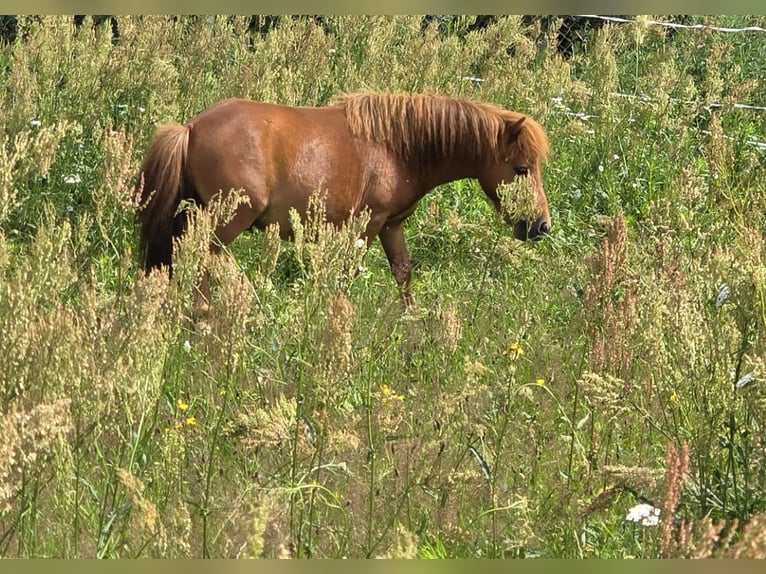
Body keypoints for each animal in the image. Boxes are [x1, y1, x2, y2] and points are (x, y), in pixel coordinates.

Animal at [135, 92, 548, 308]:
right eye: (522, 169)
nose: (540, 226)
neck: (398, 147)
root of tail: (190, 128)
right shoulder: (366, 225)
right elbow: (347, 276)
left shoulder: (391, 226)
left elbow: (403, 273)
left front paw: (412, 322)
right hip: (228, 219)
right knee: (206, 257)